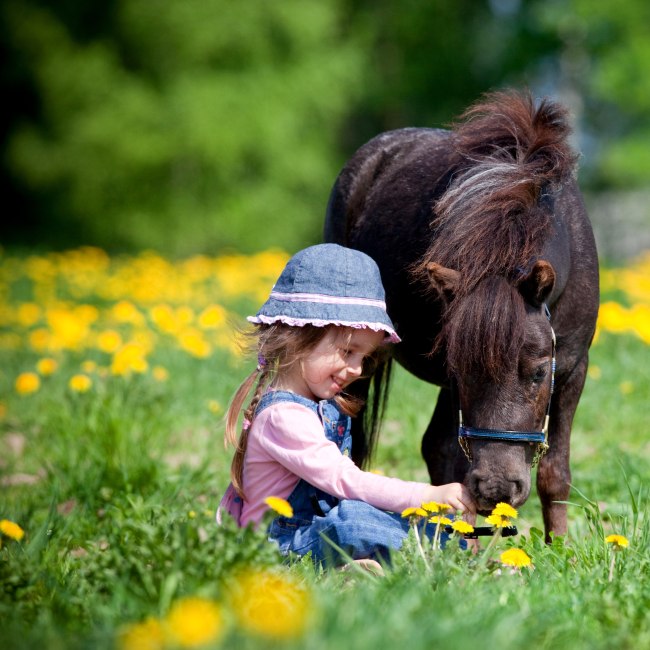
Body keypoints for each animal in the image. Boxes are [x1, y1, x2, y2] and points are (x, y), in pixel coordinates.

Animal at [324, 90, 596, 536]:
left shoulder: (573, 368)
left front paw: (561, 548)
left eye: (539, 372)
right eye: (463, 369)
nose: (498, 488)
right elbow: (456, 463)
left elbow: (555, 473)